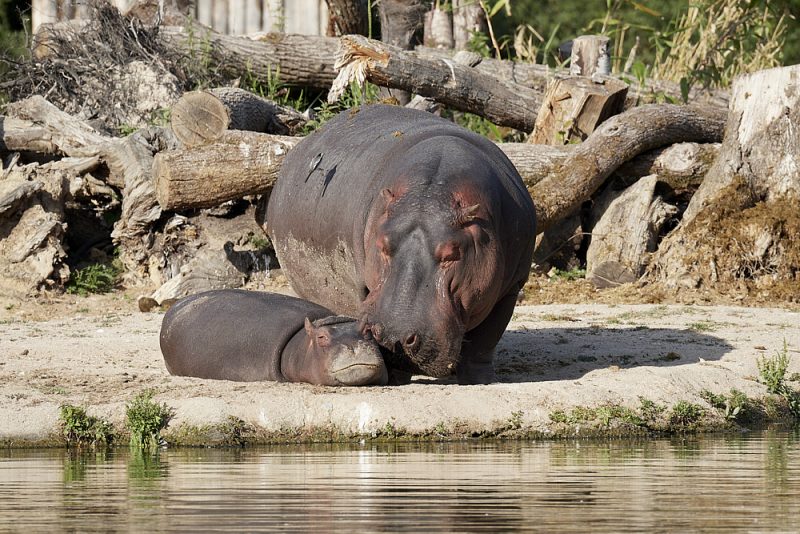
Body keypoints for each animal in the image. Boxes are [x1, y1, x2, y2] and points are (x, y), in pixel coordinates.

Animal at [264, 104, 536, 386]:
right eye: (383, 245)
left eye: (451, 254)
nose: (394, 337)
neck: (432, 193)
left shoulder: (512, 287)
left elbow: (485, 342)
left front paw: (479, 381)